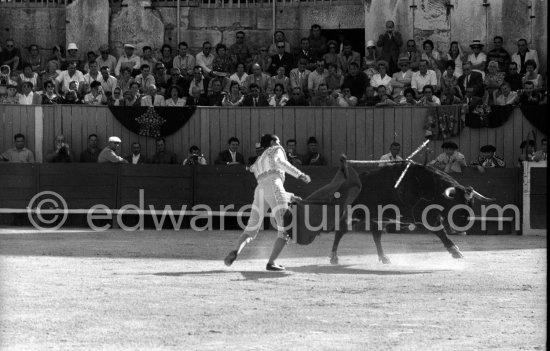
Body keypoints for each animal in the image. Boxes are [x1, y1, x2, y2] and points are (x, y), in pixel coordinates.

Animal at [288, 159, 496, 264]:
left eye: (471, 203)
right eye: (457, 204)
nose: (465, 225)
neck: (429, 187)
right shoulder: (424, 217)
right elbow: (440, 232)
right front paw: (455, 251)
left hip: (380, 217)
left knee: (376, 235)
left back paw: (383, 257)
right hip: (355, 214)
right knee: (341, 231)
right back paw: (333, 257)